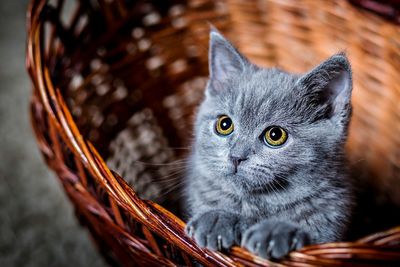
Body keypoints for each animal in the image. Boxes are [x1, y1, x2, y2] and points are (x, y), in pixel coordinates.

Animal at [184, 29, 354, 262]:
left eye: (275, 135)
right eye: (224, 124)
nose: (236, 156)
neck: (259, 204)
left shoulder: (331, 227)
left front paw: (275, 231)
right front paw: (217, 218)